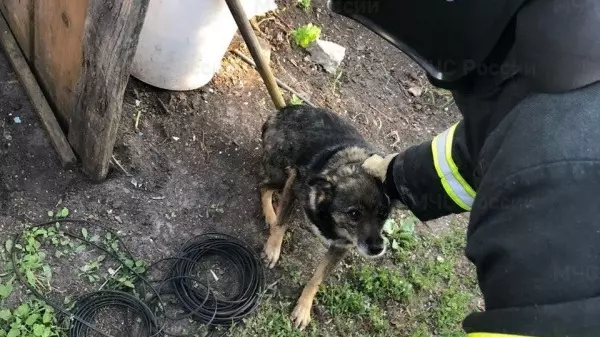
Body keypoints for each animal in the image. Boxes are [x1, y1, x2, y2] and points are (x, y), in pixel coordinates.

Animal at [258, 104, 392, 328]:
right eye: (354, 214)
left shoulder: (341, 247)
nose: (377, 248)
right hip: (281, 175)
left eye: (383, 214)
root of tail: (281, 112)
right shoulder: (293, 184)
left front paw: (303, 308)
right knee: (263, 187)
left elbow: (317, 279)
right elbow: (283, 223)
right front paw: (273, 249)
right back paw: (271, 215)